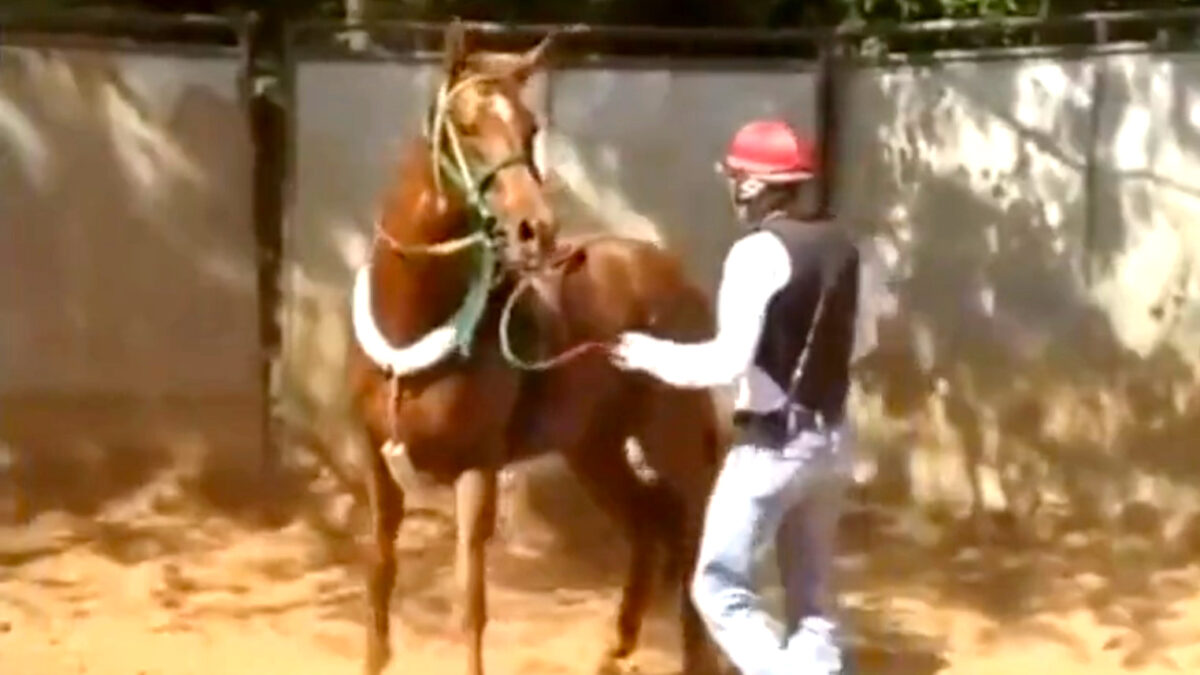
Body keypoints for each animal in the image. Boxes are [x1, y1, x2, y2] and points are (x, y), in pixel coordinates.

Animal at [344, 22, 726, 675]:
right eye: (466, 125)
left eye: (530, 129)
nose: (535, 229)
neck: (411, 325)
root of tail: (672, 273)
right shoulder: (377, 463)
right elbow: (378, 587)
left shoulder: (477, 470)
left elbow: (469, 605)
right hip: (593, 446)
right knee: (649, 523)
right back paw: (614, 650)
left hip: (667, 435)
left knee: (691, 526)